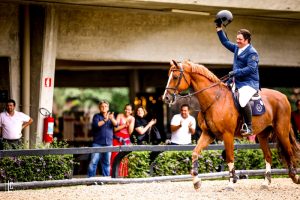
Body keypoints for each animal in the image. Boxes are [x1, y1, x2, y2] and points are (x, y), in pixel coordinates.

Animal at [164, 59, 300, 191]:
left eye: (175, 77)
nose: (166, 98)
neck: (215, 100)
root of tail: (283, 96)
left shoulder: (227, 135)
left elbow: (229, 158)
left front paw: (230, 183)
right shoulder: (208, 134)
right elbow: (195, 153)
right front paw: (196, 182)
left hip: (281, 132)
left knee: (289, 152)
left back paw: (295, 177)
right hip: (262, 135)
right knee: (268, 156)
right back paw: (266, 183)